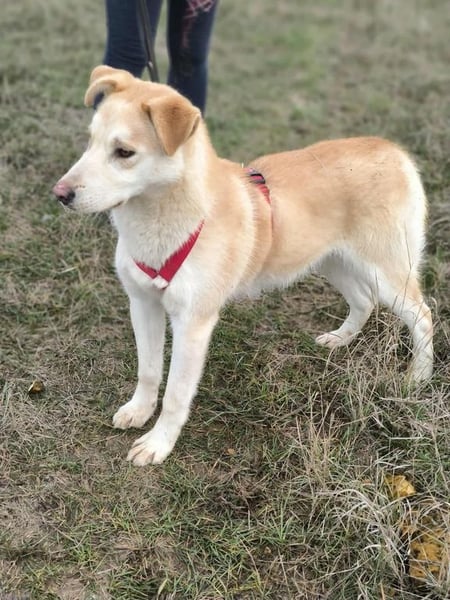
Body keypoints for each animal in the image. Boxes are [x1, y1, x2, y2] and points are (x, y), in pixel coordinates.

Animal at [53, 66, 433, 465]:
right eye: (90, 141)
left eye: (124, 152)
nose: (60, 194)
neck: (168, 221)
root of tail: (393, 151)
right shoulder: (142, 305)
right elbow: (149, 371)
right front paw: (140, 411)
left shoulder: (193, 324)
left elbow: (175, 394)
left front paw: (159, 443)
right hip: (332, 262)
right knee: (363, 301)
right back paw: (340, 339)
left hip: (386, 273)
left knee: (422, 315)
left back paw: (418, 377)